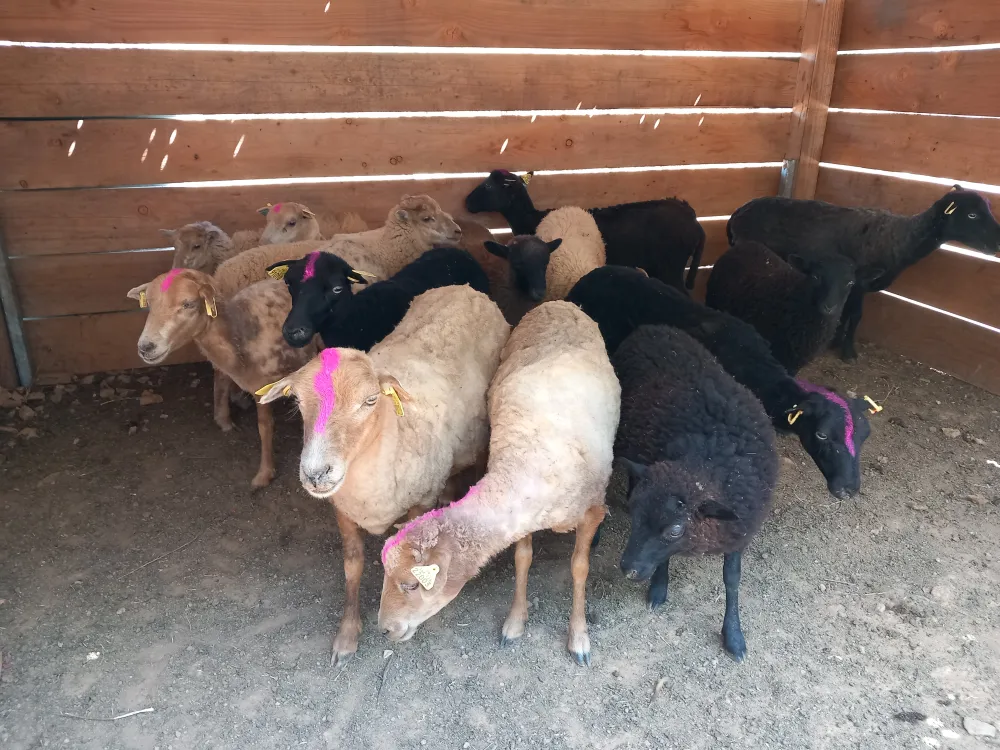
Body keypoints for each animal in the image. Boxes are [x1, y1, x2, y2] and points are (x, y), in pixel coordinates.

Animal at [126, 268, 315, 488]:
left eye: (188, 304)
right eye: (148, 303)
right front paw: (266, 472)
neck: (237, 336)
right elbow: (264, 428)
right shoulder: (258, 388)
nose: (146, 347)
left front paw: (266, 473)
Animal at [257, 285, 510, 665]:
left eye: (371, 400)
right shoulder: (343, 510)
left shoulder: (419, 501)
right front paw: (347, 635)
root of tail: (465, 288)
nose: (316, 473)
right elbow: (352, 566)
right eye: (298, 402)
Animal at [377, 301, 619, 665]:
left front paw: (579, 637)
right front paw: (515, 622)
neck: (528, 461)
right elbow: (522, 559)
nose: (384, 630)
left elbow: (579, 567)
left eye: (412, 585)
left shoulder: (590, 511)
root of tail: (557, 303)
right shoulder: (523, 517)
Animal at [614, 324, 777, 661]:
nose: (628, 570)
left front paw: (734, 635)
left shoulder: (739, 530)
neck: (706, 463)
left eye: (676, 529)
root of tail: (651, 327)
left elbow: (732, 579)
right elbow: (663, 560)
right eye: (635, 517)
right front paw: (658, 589)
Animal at [727, 186, 1000, 360]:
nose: (998, 242)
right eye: (972, 214)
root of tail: (737, 213)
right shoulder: (858, 285)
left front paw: (837, 341)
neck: (899, 239)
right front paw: (848, 352)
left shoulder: (855, 284)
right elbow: (856, 315)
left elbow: (847, 313)